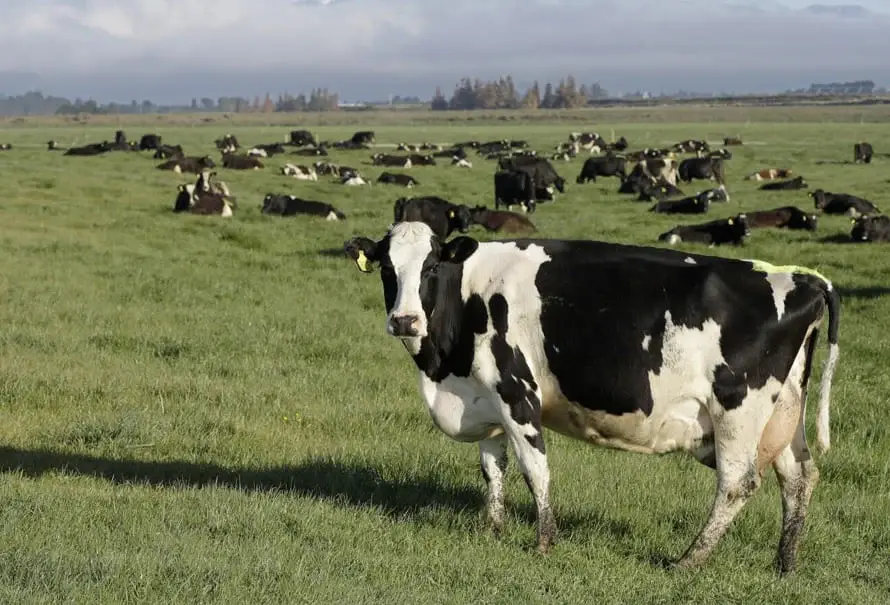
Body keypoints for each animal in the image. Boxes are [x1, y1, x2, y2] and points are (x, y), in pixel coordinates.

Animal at [342, 218, 840, 576]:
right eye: (387, 269)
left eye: (430, 267)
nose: (404, 321)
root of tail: (804, 278)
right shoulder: (484, 396)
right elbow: (492, 467)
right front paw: (493, 530)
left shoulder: (516, 390)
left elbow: (534, 468)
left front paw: (544, 542)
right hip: (783, 413)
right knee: (800, 477)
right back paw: (784, 563)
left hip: (738, 408)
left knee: (738, 483)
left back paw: (689, 560)